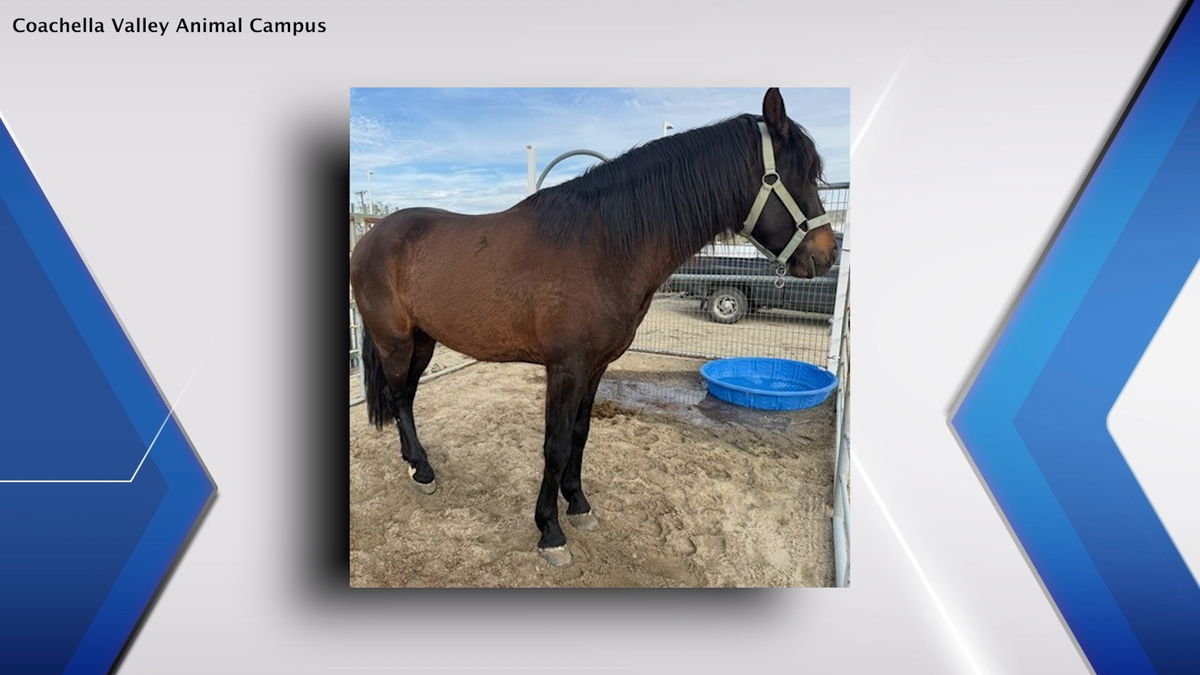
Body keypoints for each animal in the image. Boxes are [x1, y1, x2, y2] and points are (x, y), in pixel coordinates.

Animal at [350, 88, 839, 567]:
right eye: (795, 174)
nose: (827, 254)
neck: (600, 247)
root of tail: (371, 237)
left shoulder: (595, 366)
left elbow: (580, 437)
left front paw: (579, 505)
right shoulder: (565, 369)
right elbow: (555, 445)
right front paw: (549, 531)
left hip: (423, 341)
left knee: (407, 396)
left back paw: (415, 462)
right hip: (394, 341)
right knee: (400, 397)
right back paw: (422, 470)